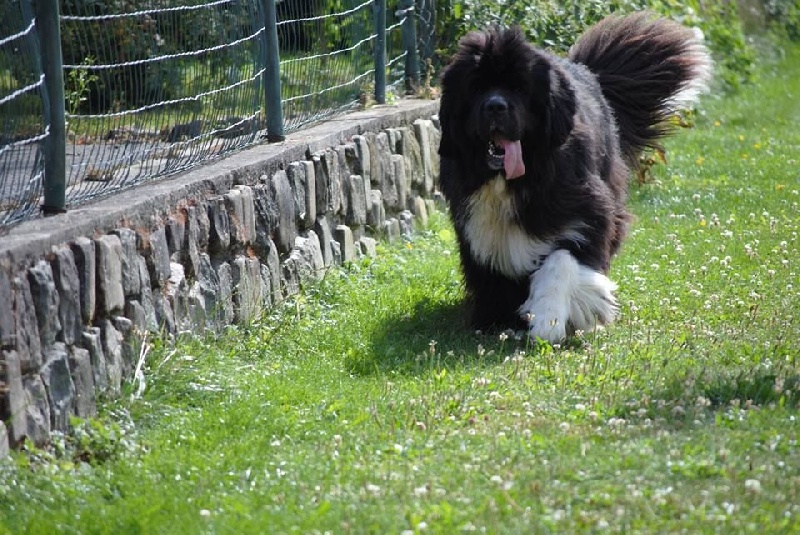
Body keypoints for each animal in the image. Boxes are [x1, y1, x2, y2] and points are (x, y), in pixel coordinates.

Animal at [437, 12, 712, 342]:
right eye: (476, 87)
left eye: (519, 88)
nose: (495, 106)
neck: (514, 181)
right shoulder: (480, 226)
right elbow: (493, 265)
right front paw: (496, 320)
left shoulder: (586, 212)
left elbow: (563, 261)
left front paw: (549, 318)